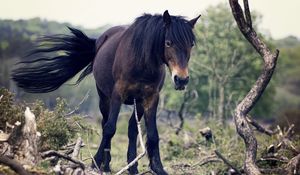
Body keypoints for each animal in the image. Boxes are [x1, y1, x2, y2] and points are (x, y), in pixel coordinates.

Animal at [11, 10, 200, 174]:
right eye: (168, 42)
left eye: (191, 44)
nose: (181, 79)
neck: (142, 62)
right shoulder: (117, 95)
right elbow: (110, 128)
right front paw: (96, 162)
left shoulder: (150, 98)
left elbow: (153, 134)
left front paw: (158, 168)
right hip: (104, 98)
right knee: (105, 124)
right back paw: (106, 165)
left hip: (137, 103)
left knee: (132, 129)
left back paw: (132, 166)